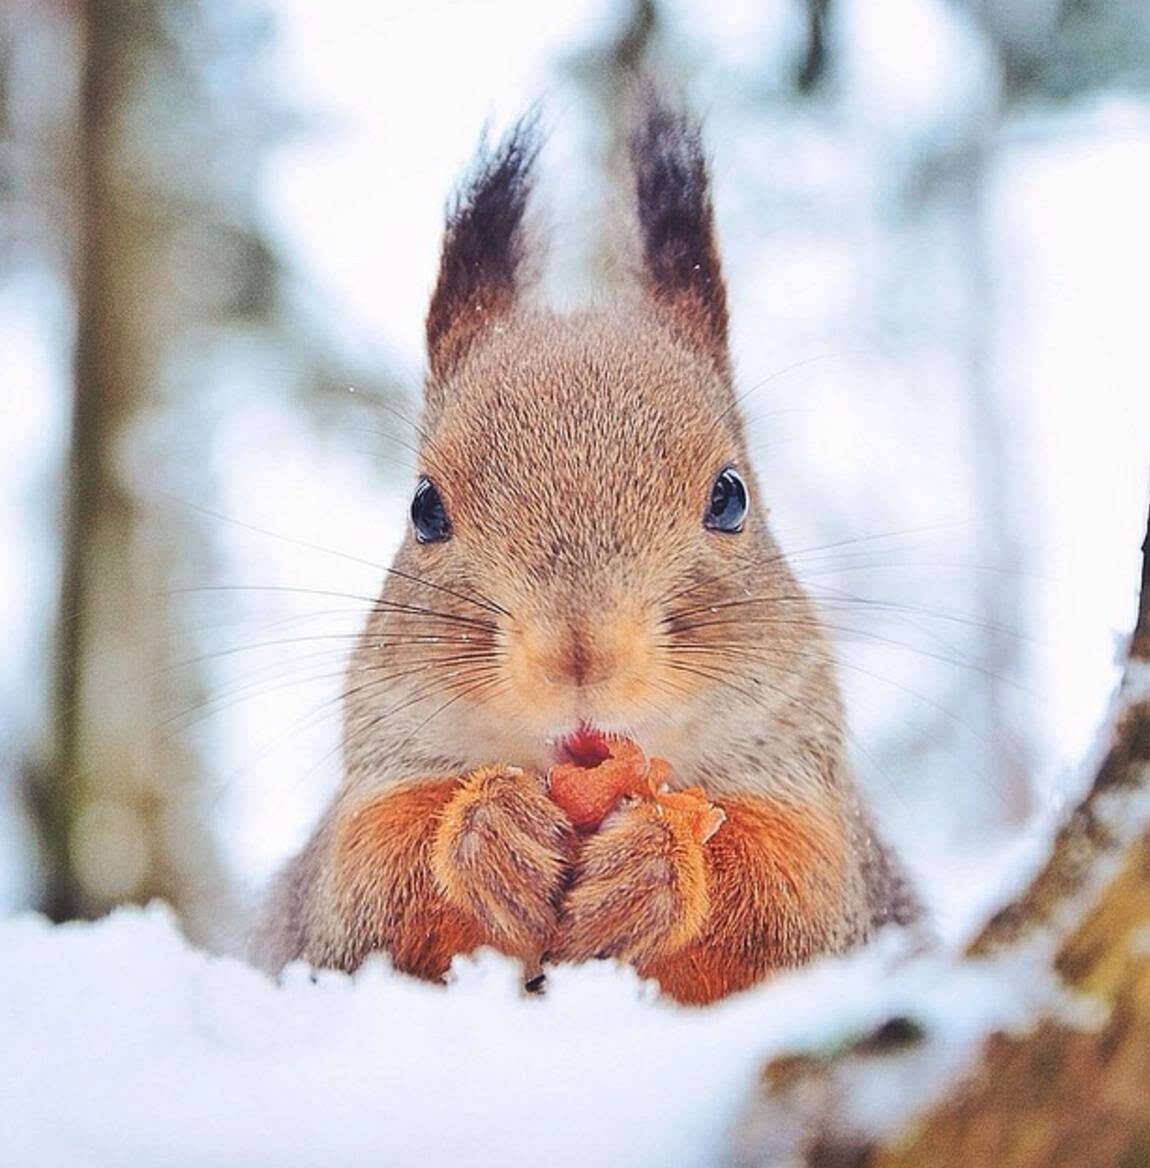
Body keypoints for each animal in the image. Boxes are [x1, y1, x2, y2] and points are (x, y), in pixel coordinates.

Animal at [253, 98, 924, 1004]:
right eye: (425, 509)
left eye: (730, 496)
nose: (579, 650)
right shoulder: (347, 854)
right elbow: (370, 880)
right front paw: (491, 831)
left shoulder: (822, 831)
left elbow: (787, 897)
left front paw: (656, 864)